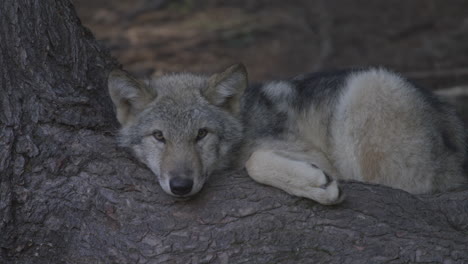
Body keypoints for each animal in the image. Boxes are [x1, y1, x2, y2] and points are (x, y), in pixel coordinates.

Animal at [107, 64, 468, 204]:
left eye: (201, 134)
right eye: (159, 136)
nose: (181, 186)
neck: (245, 124)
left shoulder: (317, 156)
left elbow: (255, 161)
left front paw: (317, 185)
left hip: (369, 88)